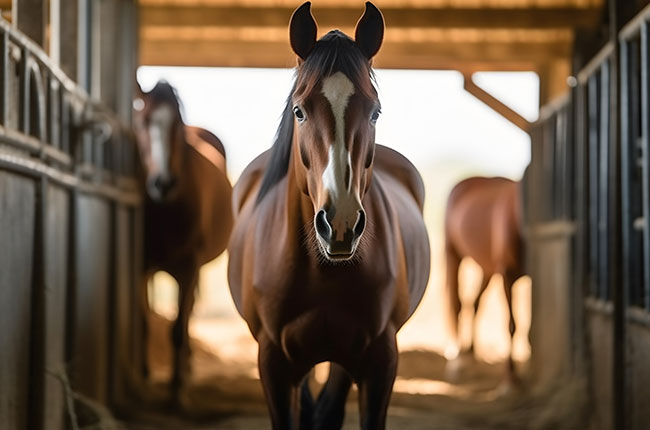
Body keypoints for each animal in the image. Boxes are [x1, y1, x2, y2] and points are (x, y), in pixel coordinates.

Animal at [132, 81, 233, 406]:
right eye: (143, 123)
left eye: (177, 127)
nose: (162, 183)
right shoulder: (141, 268)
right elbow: (143, 322)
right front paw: (144, 376)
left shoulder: (188, 268)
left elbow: (178, 328)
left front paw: (177, 390)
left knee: (187, 317)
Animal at [442, 176, 524, 384]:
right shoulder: (508, 275)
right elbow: (512, 324)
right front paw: (510, 378)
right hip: (452, 255)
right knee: (456, 304)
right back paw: (457, 361)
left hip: (487, 270)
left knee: (474, 303)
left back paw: (470, 352)